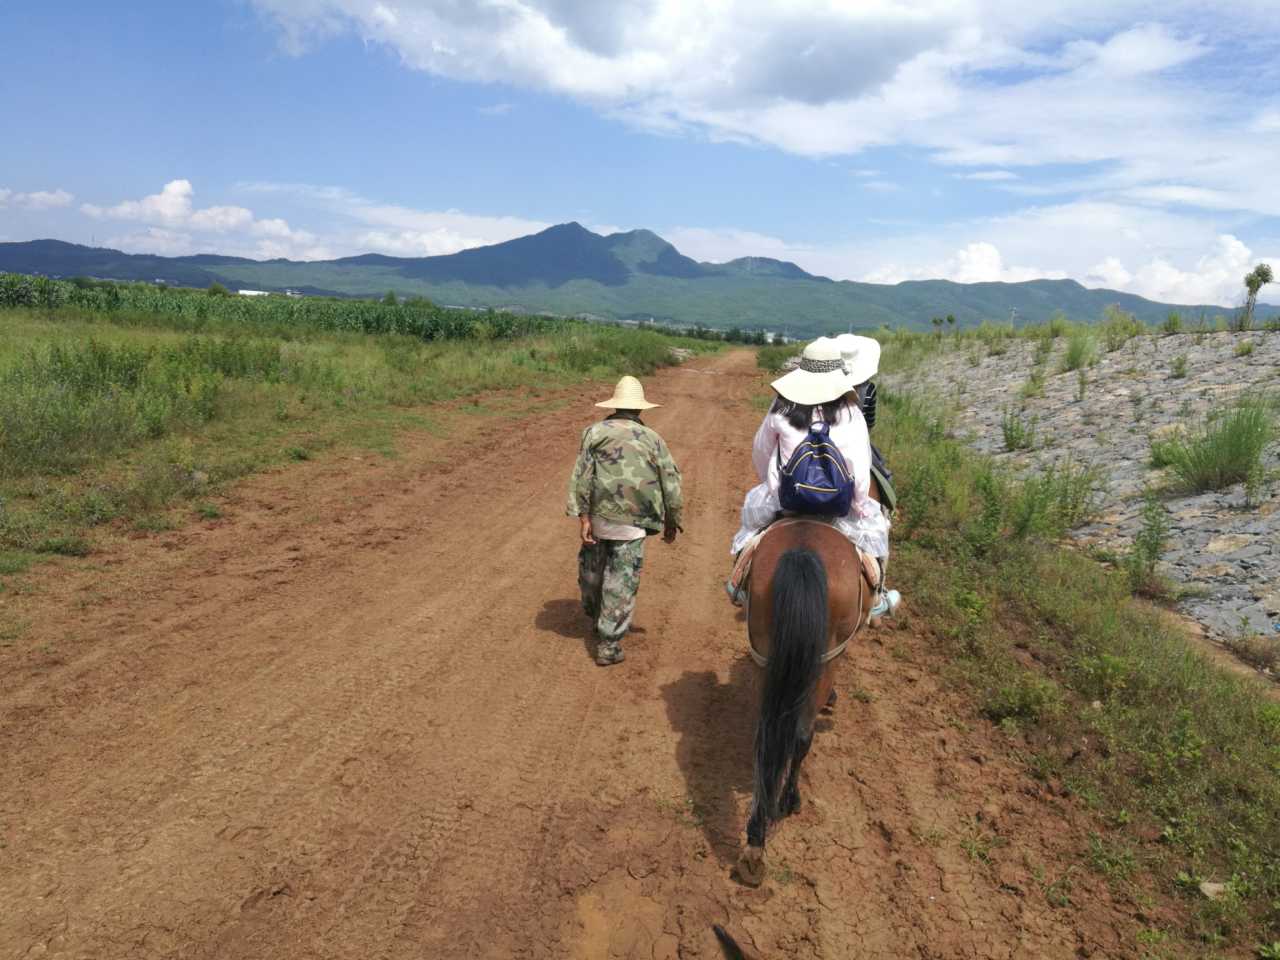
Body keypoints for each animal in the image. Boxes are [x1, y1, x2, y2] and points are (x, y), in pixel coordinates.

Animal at [735, 480, 884, 887]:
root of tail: (804, 551)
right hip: (826, 653)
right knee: (801, 735)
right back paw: (789, 802)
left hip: (766, 648)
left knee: (767, 735)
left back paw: (755, 843)